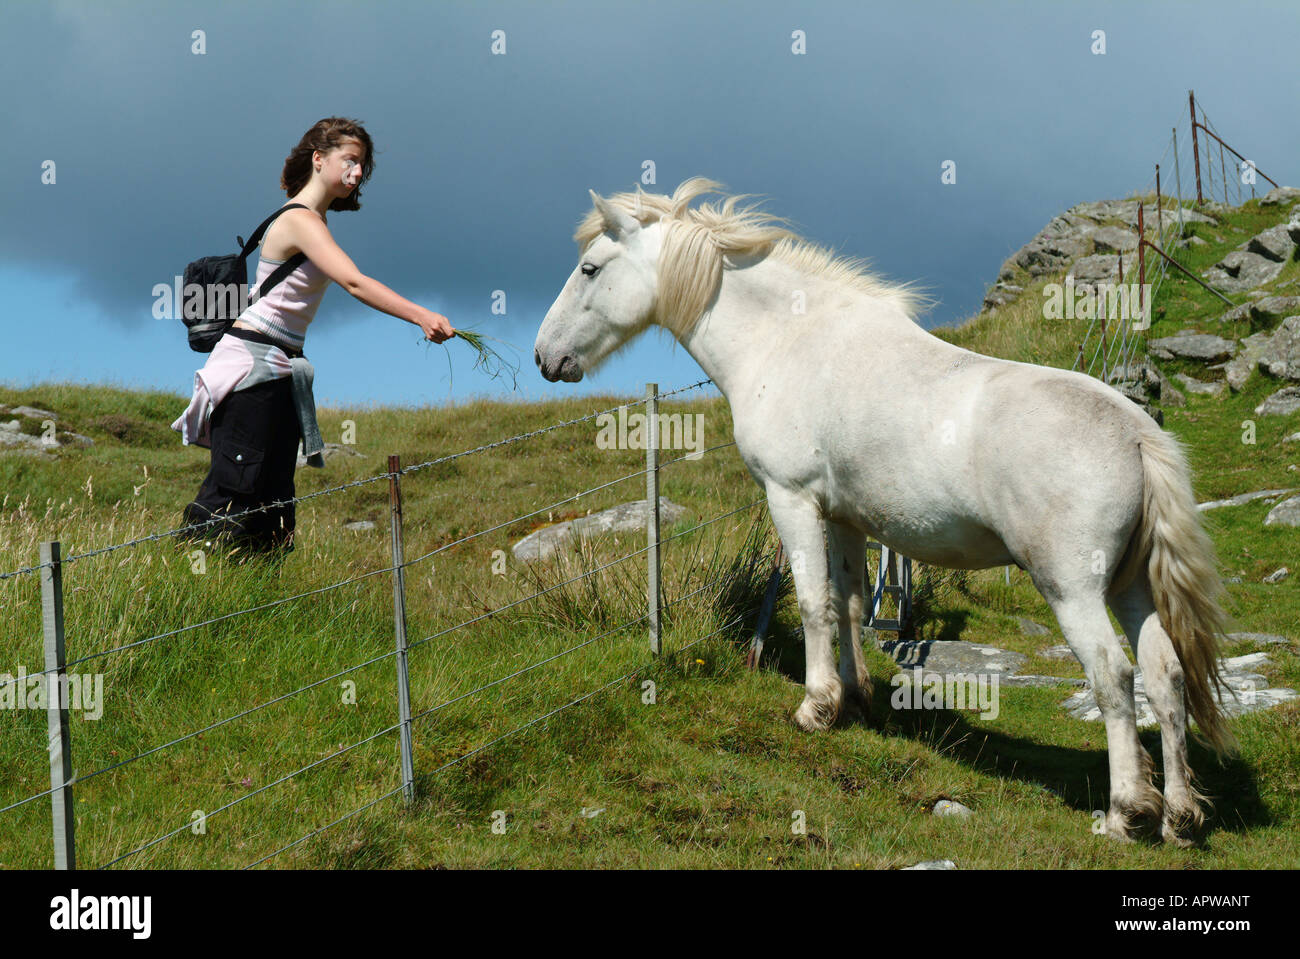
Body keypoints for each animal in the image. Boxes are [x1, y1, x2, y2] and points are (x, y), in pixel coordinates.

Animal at [533, 175, 1232, 842]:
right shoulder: (845, 517)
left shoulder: (792, 497)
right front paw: (855, 698)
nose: (545, 356)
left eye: (590, 268)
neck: (787, 339)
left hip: (1073, 588)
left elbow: (812, 602)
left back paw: (1124, 814)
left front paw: (815, 708)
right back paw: (1177, 818)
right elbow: (847, 604)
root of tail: (1138, 434)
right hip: (1131, 587)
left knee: (1114, 677)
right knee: (1166, 677)